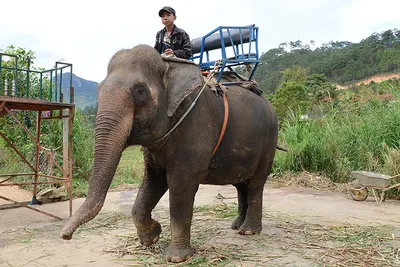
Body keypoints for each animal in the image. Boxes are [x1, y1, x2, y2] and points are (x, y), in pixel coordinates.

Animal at [60, 44, 278, 264]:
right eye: (98, 89)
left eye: (140, 91)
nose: (65, 236)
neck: (168, 65)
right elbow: (153, 182)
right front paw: (152, 237)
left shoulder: (195, 125)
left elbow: (181, 186)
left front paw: (176, 258)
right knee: (241, 184)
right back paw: (236, 226)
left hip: (269, 141)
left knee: (256, 184)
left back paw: (248, 231)